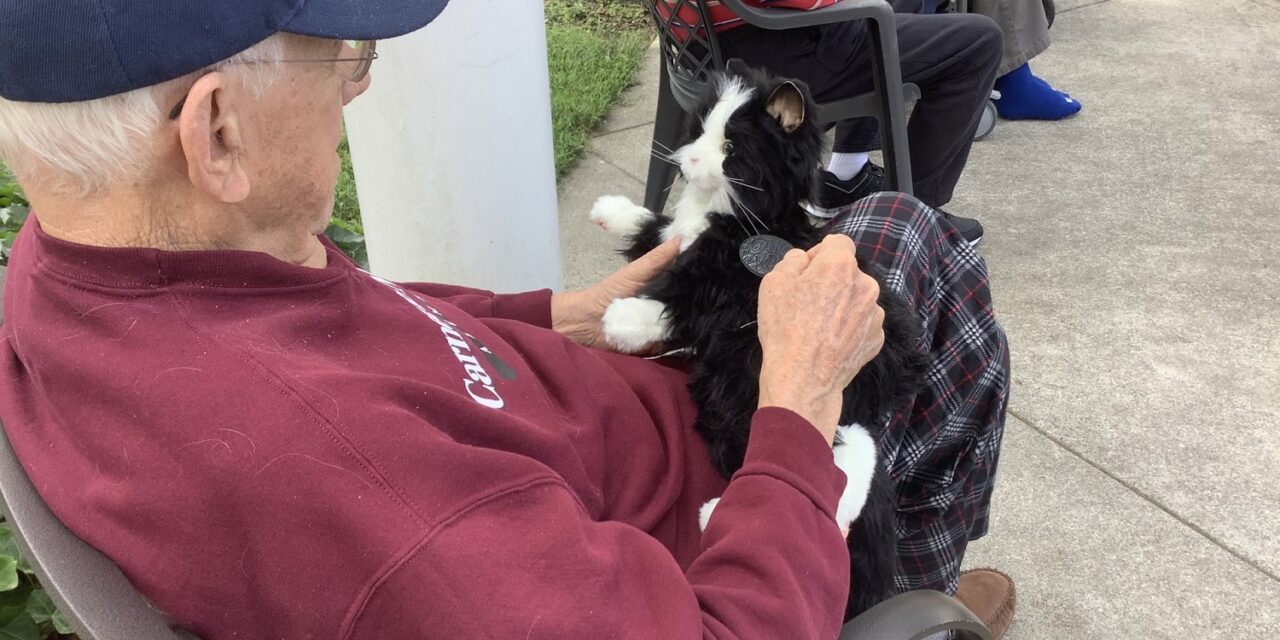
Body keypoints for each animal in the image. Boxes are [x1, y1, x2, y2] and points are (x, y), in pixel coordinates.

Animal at [586, 62, 926, 616]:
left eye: (730, 148)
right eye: (700, 129)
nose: (685, 160)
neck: (727, 211)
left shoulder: (731, 278)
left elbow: (686, 294)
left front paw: (625, 316)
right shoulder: (676, 239)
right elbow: (656, 229)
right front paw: (610, 210)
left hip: (815, 405)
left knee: (841, 474)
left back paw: (713, 514)